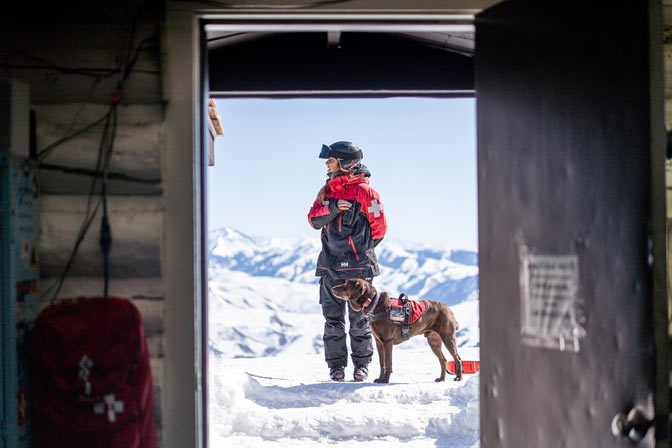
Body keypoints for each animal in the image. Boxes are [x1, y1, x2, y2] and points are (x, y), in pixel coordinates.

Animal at [330, 278, 462, 384]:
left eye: (347, 284)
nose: (332, 288)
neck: (374, 305)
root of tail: (448, 309)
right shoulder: (379, 342)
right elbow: (382, 363)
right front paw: (380, 379)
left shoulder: (387, 341)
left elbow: (388, 362)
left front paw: (385, 380)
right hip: (433, 341)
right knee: (443, 360)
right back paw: (441, 379)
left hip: (448, 338)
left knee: (458, 359)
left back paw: (458, 378)